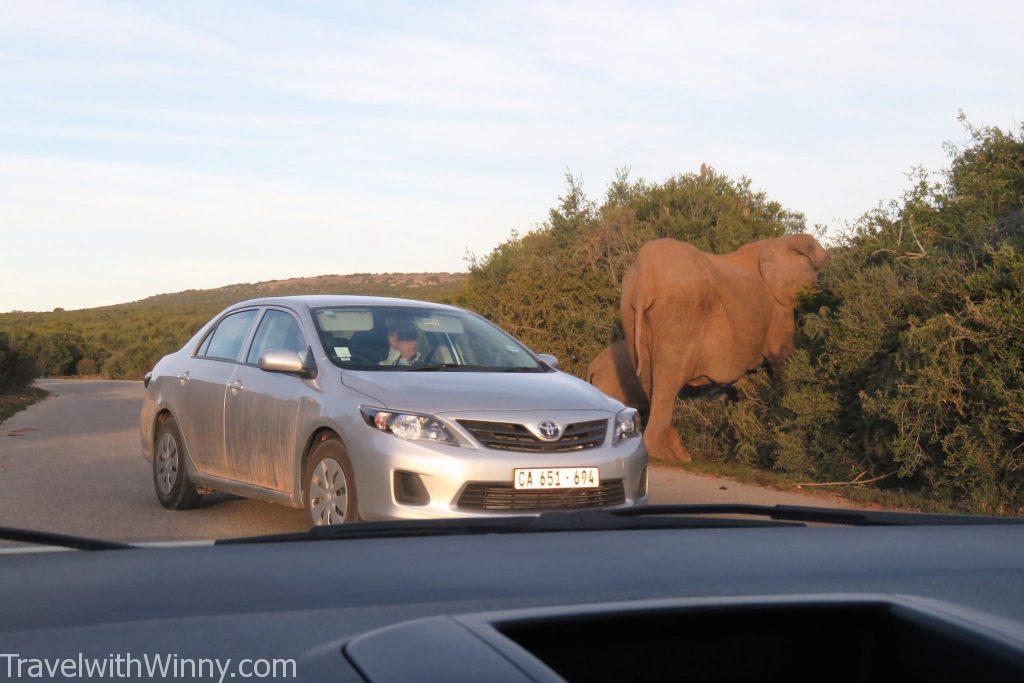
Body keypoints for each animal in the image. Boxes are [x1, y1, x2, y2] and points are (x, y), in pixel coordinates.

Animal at [618, 235, 827, 464]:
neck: (783, 241)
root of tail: (644, 269)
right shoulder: (778, 307)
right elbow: (783, 357)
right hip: (681, 313)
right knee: (668, 379)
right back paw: (669, 457)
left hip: (631, 311)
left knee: (649, 380)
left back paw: (680, 454)